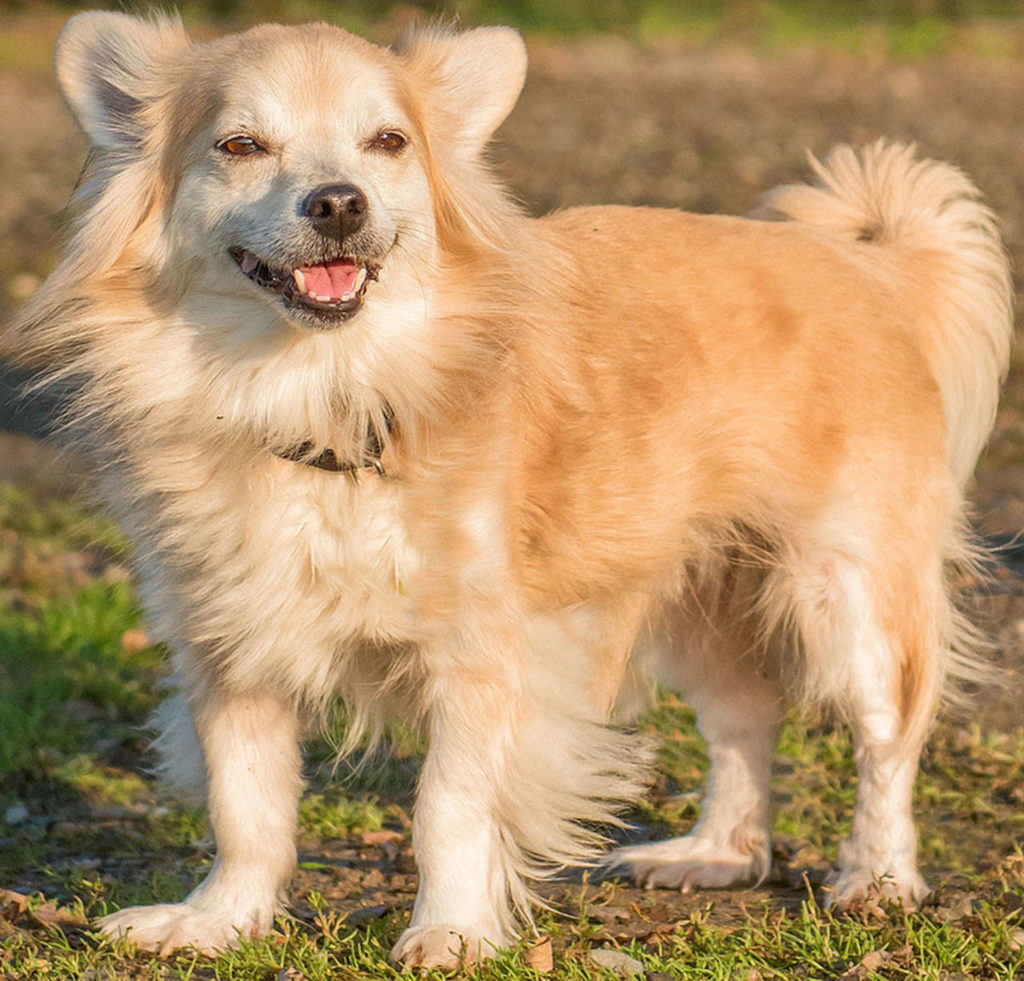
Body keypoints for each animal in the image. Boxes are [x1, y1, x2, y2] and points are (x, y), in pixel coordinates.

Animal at [12, 9, 1011, 974]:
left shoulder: (485, 654)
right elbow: (246, 804)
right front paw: (217, 919)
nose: (338, 201)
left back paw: (878, 876)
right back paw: (717, 851)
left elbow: (448, 806)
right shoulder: (233, 649)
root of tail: (869, 264)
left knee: (886, 735)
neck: (323, 392)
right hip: (696, 586)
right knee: (744, 715)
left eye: (388, 143)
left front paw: (452, 932)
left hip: (849, 589)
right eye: (240, 145)